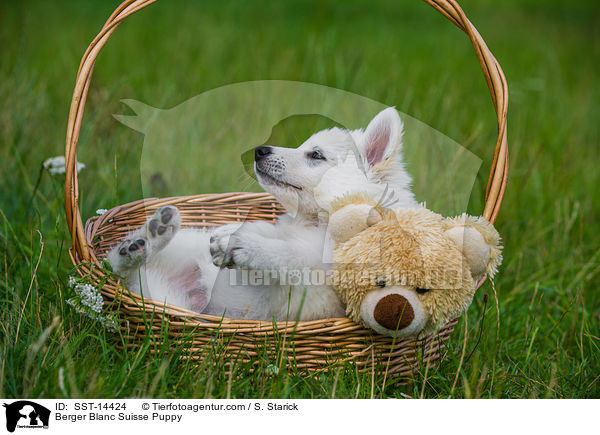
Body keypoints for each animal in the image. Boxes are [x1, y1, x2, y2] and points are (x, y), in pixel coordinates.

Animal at [106, 107, 418, 322]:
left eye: (316, 155)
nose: (260, 150)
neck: (317, 221)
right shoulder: (285, 229)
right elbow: (269, 230)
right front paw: (228, 233)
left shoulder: (325, 293)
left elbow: (297, 258)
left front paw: (244, 245)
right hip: (182, 252)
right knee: (120, 272)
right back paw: (145, 239)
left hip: (169, 299)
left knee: (132, 283)